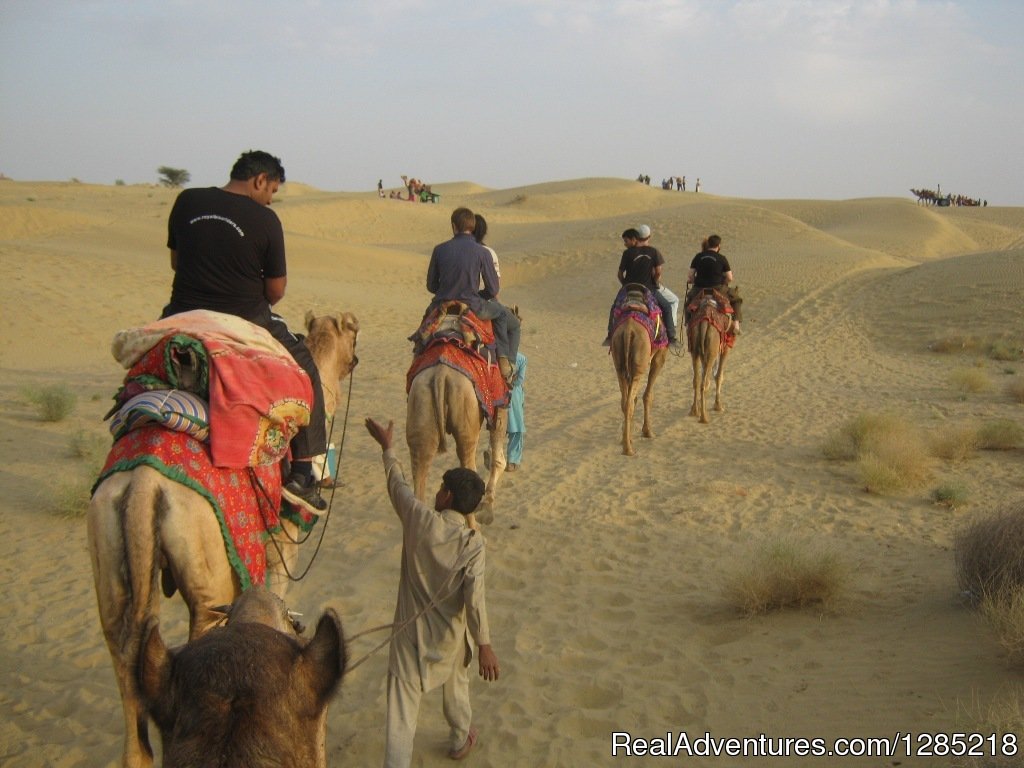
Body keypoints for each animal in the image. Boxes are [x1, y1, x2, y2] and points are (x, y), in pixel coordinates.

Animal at [610, 313, 667, 456]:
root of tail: (628, 331)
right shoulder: (660, 355)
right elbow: (648, 395)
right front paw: (648, 432)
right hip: (639, 365)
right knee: (630, 402)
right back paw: (628, 449)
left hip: (619, 362)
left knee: (625, 402)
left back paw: (626, 442)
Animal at [688, 290, 737, 423]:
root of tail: (705, 322)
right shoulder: (725, 347)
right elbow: (719, 376)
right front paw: (718, 405)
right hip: (712, 351)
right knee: (704, 382)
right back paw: (704, 417)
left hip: (695, 350)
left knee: (697, 380)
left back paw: (694, 411)